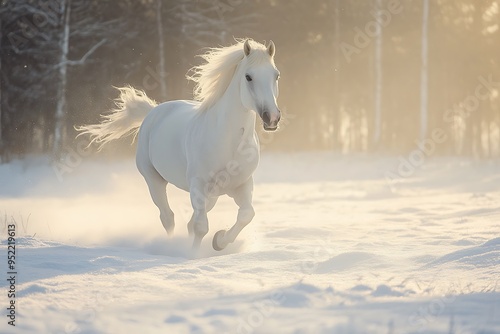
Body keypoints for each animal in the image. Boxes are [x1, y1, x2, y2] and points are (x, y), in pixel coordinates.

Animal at [78, 39, 282, 250]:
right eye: (248, 77)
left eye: (276, 75)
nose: (272, 118)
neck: (229, 142)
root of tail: (153, 112)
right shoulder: (198, 184)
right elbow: (201, 227)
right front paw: (193, 254)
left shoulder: (242, 184)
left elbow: (246, 215)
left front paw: (219, 241)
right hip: (154, 180)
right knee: (168, 217)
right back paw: (170, 245)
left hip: (212, 195)